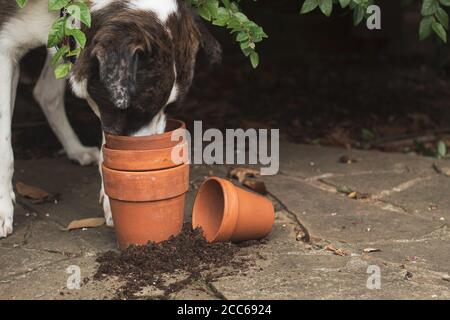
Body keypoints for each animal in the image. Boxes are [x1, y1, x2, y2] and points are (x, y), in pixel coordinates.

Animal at [0, 0, 221, 238]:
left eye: (171, 109)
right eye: (137, 111)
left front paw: (112, 201)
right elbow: (5, 150)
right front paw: (3, 208)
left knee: (46, 93)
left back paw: (76, 149)